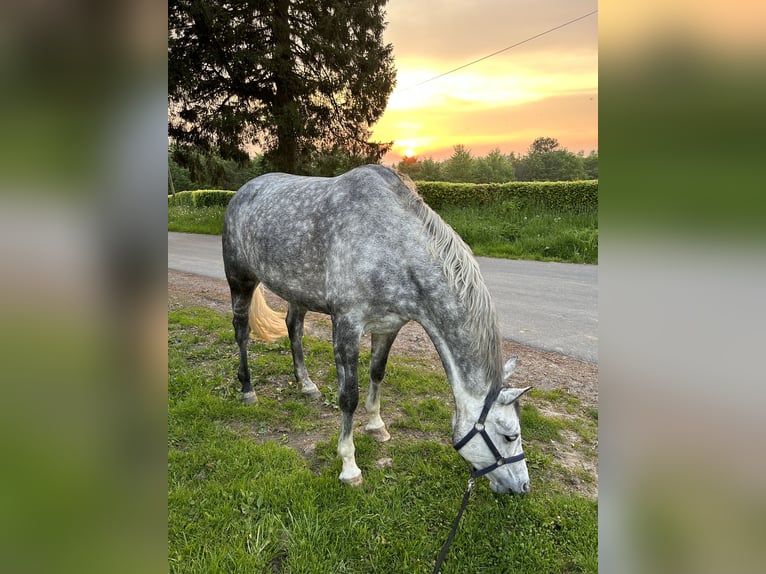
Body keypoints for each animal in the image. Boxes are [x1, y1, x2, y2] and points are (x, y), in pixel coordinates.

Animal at [225, 165, 532, 496]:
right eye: (510, 435)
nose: (523, 487)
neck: (392, 246)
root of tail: (242, 192)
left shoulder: (388, 326)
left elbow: (377, 373)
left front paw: (377, 426)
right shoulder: (347, 325)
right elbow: (349, 396)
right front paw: (349, 467)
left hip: (297, 292)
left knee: (294, 328)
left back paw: (306, 385)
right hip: (240, 280)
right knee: (242, 332)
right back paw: (248, 390)